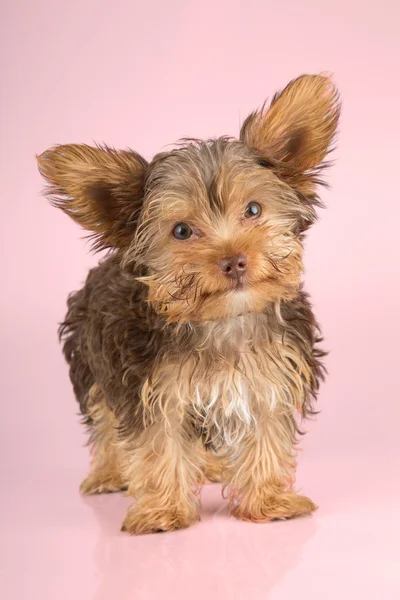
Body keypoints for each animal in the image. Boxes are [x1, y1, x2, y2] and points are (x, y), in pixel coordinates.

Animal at [37, 74, 340, 536]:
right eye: (181, 231)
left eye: (254, 209)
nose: (234, 260)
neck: (221, 320)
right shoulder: (148, 389)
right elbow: (157, 444)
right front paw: (163, 511)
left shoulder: (271, 375)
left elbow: (266, 434)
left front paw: (268, 500)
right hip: (90, 360)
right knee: (103, 419)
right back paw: (108, 473)